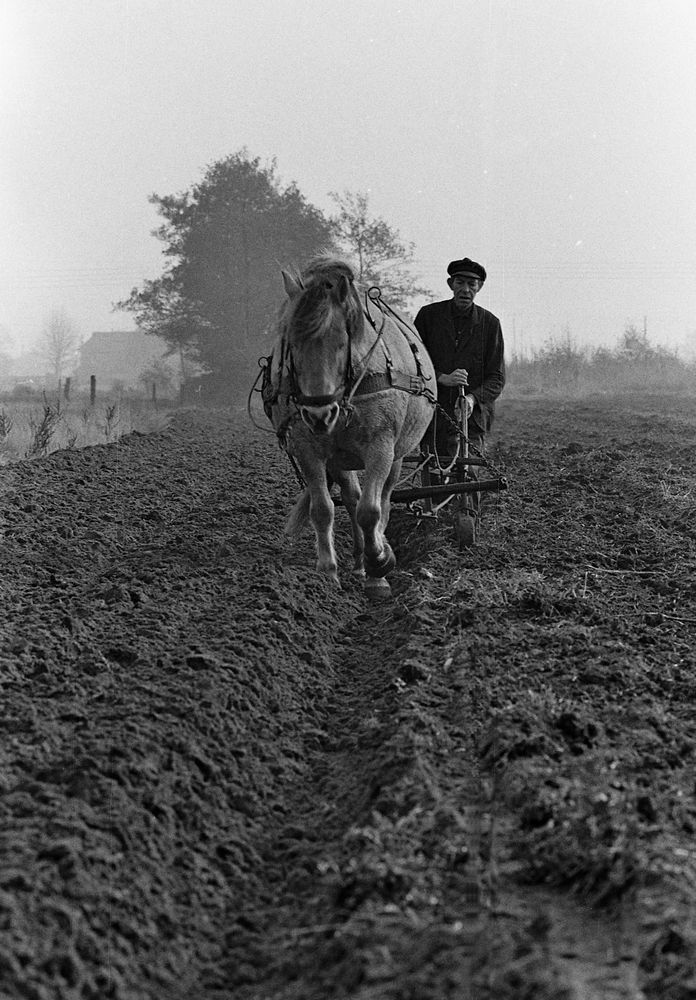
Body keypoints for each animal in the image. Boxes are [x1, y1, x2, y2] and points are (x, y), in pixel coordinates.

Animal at [266, 258, 436, 596]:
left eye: (341, 342)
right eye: (292, 343)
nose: (319, 414)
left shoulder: (380, 447)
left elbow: (371, 511)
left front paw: (380, 565)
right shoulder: (308, 449)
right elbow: (323, 509)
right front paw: (327, 573)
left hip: (396, 456)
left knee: (382, 500)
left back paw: (373, 555)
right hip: (339, 457)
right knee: (351, 496)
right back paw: (358, 562)